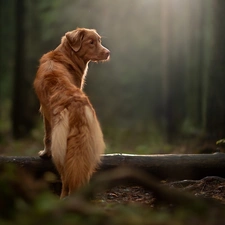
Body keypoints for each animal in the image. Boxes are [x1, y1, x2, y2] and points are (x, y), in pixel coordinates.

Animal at [33, 28, 110, 199]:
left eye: (99, 40)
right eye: (91, 42)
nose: (108, 53)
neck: (65, 55)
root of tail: (77, 104)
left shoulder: (45, 113)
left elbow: (46, 137)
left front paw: (44, 154)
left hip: (61, 150)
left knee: (66, 178)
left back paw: (64, 198)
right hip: (87, 148)